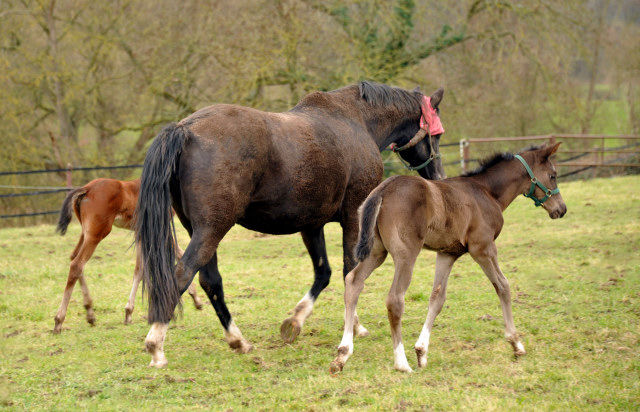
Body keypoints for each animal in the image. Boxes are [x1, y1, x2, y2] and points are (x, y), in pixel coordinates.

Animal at [53, 179, 202, 334]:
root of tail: (87, 189)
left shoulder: (140, 232)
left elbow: (141, 269)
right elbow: (173, 257)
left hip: (86, 232)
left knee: (74, 258)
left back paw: (90, 314)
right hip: (97, 234)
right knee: (77, 264)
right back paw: (59, 320)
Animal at [135, 80, 444, 366]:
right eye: (437, 134)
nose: (437, 175)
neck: (356, 120)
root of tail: (186, 129)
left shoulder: (311, 225)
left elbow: (324, 273)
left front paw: (295, 321)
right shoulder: (352, 219)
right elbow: (350, 272)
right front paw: (354, 327)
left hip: (201, 231)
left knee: (211, 282)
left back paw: (238, 340)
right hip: (212, 230)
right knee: (182, 276)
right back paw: (156, 345)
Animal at [332, 142, 568, 374]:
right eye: (553, 175)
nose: (561, 209)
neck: (486, 192)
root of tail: (383, 190)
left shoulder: (447, 253)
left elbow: (437, 298)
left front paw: (422, 352)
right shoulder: (483, 248)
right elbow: (503, 286)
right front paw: (516, 343)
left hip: (376, 252)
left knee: (353, 281)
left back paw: (343, 354)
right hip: (406, 254)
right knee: (395, 299)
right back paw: (401, 363)